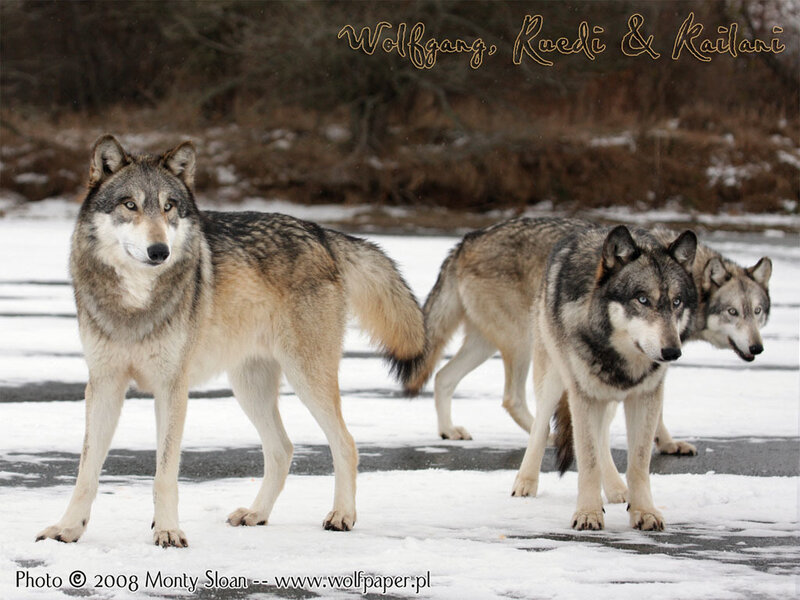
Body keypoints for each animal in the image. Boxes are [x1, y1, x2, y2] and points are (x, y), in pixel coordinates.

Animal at [36, 135, 424, 547]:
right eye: (130, 205)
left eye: (169, 207)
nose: (160, 251)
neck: (135, 303)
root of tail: (320, 232)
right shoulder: (104, 385)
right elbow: (86, 472)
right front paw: (68, 528)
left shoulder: (171, 387)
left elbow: (164, 474)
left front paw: (168, 531)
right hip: (249, 387)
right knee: (283, 449)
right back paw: (257, 514)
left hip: (306, 377)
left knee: (345, 444)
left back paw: (342, 516)